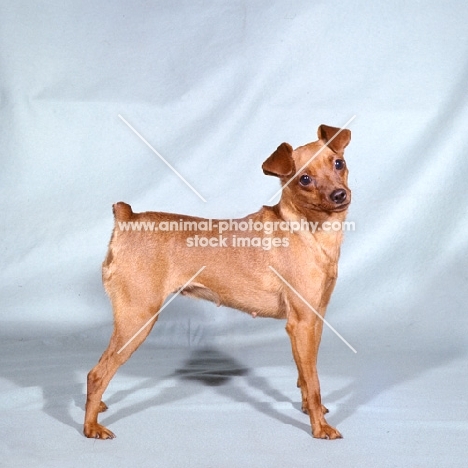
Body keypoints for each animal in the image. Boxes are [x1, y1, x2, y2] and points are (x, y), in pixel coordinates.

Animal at [83, 123, 352, 438]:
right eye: (305, 179)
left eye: (339, 163)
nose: (339, 195)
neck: (309, 230)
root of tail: (128, 218)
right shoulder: (301, 324)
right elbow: (313, 382)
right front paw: (320, 427)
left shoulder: (315, 321)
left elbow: (305, 376)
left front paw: (312, 411)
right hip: (137, 319)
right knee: (97, 374)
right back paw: (90, 426)